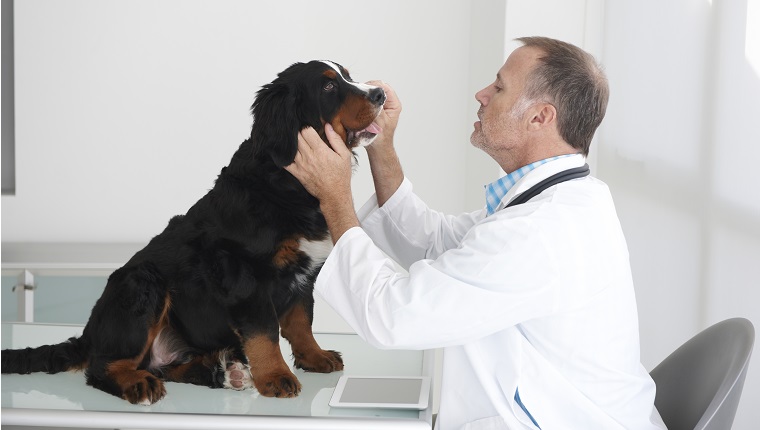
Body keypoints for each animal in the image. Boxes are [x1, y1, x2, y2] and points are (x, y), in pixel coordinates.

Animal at [2, 59, 386, 404]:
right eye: (328, 86)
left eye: (347, 76)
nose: (380, 94)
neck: (288, 181)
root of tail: (90, 333)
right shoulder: (246, 273)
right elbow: (265, 332)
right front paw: (276, 376)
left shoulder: (305, 272)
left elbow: (301, 320)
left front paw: (314, 356)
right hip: (143, 283)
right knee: (102, 367)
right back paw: (138, 384)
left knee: (163, 365)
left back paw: (223, 372)